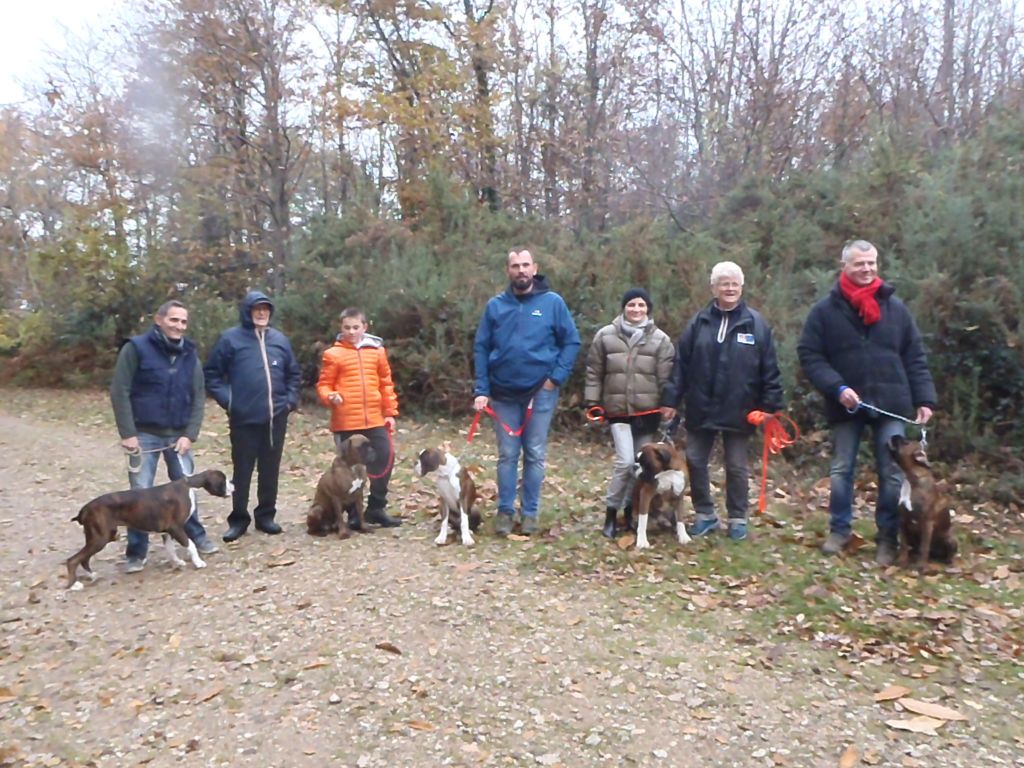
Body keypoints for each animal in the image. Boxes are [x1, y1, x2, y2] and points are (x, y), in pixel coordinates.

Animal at [65, 468, 232, 589]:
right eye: (223, 480)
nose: (233, 484)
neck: (189, 484)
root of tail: (84, 509)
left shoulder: (168, 532)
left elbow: (170, 549)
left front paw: (177, 563)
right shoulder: (176, 528)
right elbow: (190, 544)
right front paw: (198, 562)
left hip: (98, 537)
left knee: (84, 558)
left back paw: (91, 575)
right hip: (100, 538)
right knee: (73, 560)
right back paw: (75, 585)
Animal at [888, 436, 958, 573]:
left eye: (906, 442)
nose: (895, 436)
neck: (912, 480)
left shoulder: (927, 524)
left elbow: (924, 547)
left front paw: (921, 566)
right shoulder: (903, 521)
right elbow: (903, 544)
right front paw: (902, 561)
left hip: (950, 539)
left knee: (947, 552)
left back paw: (949, 562)